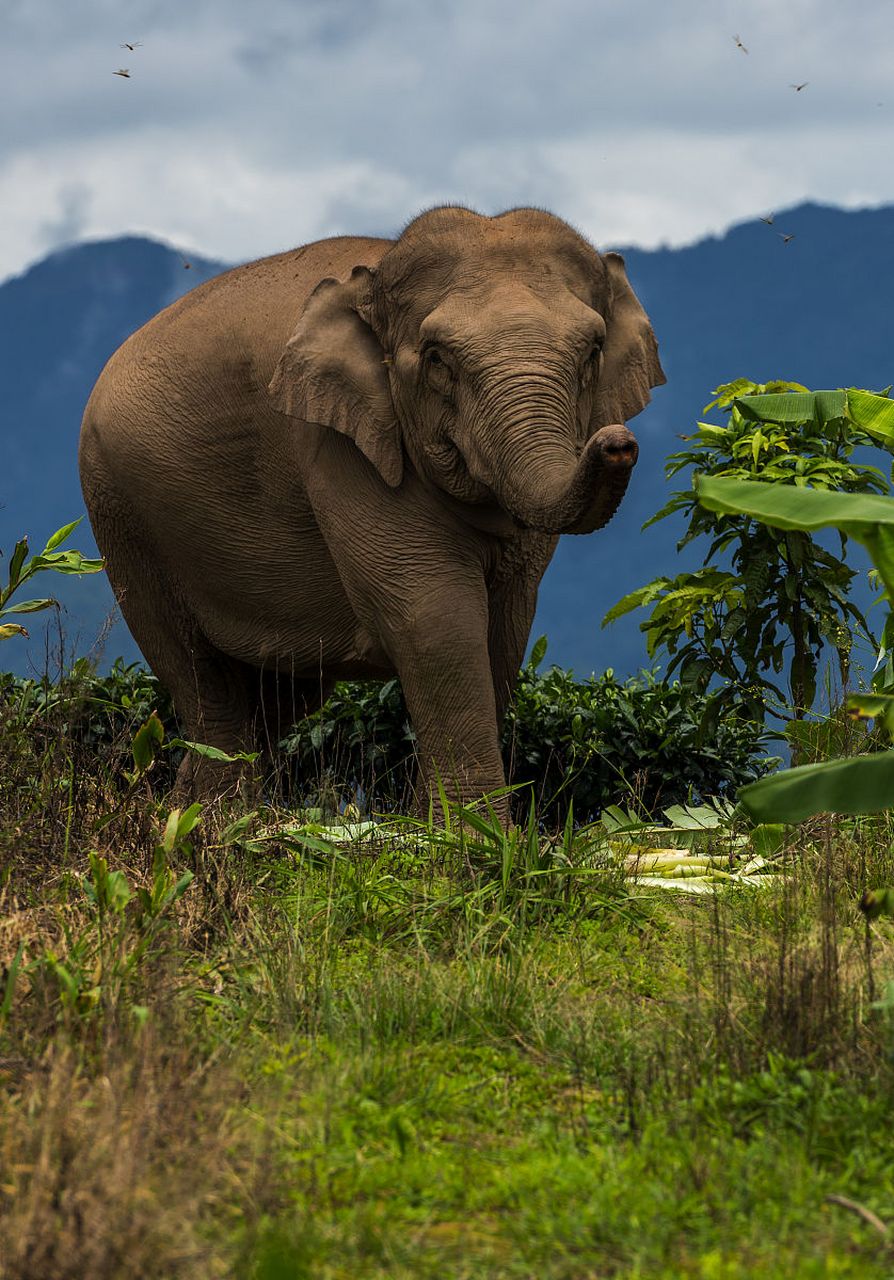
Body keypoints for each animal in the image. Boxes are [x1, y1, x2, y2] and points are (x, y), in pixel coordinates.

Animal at [78, 200, 660, 819]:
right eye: (438, 360)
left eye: (592, 352)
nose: (618, 442)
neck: (376, 277)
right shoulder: (337, 444)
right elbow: (433, 617)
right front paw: (466, 835)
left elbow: (506, 627)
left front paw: (434, 824)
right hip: (121, 514)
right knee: (203, 679)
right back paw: (216, 823)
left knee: (281, 695)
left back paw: (180, 811)